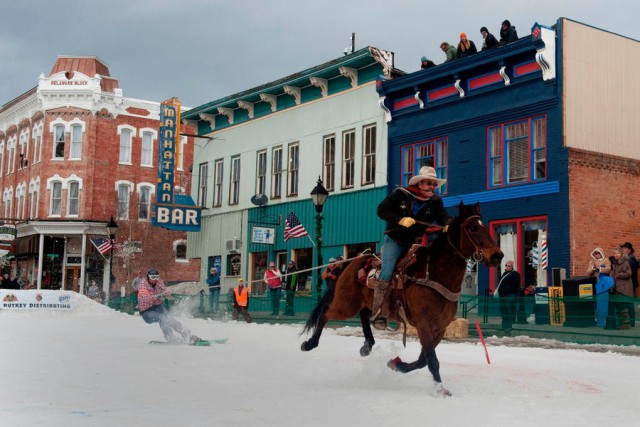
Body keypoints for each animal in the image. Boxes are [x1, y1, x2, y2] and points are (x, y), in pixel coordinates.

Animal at [302, 202, 504, 396]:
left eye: (483, 226)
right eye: (472, 227)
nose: (497, 255)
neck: (434, 275)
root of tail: (352, 262)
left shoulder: (440, 327)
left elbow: (423, 360)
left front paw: (397, 364)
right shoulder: (423, 324)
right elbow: (432, 360)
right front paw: (441, 391)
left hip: (366, 304)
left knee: (364, 316)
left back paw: (367, 346)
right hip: (346, 304)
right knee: (326, 314)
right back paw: (309, 344)